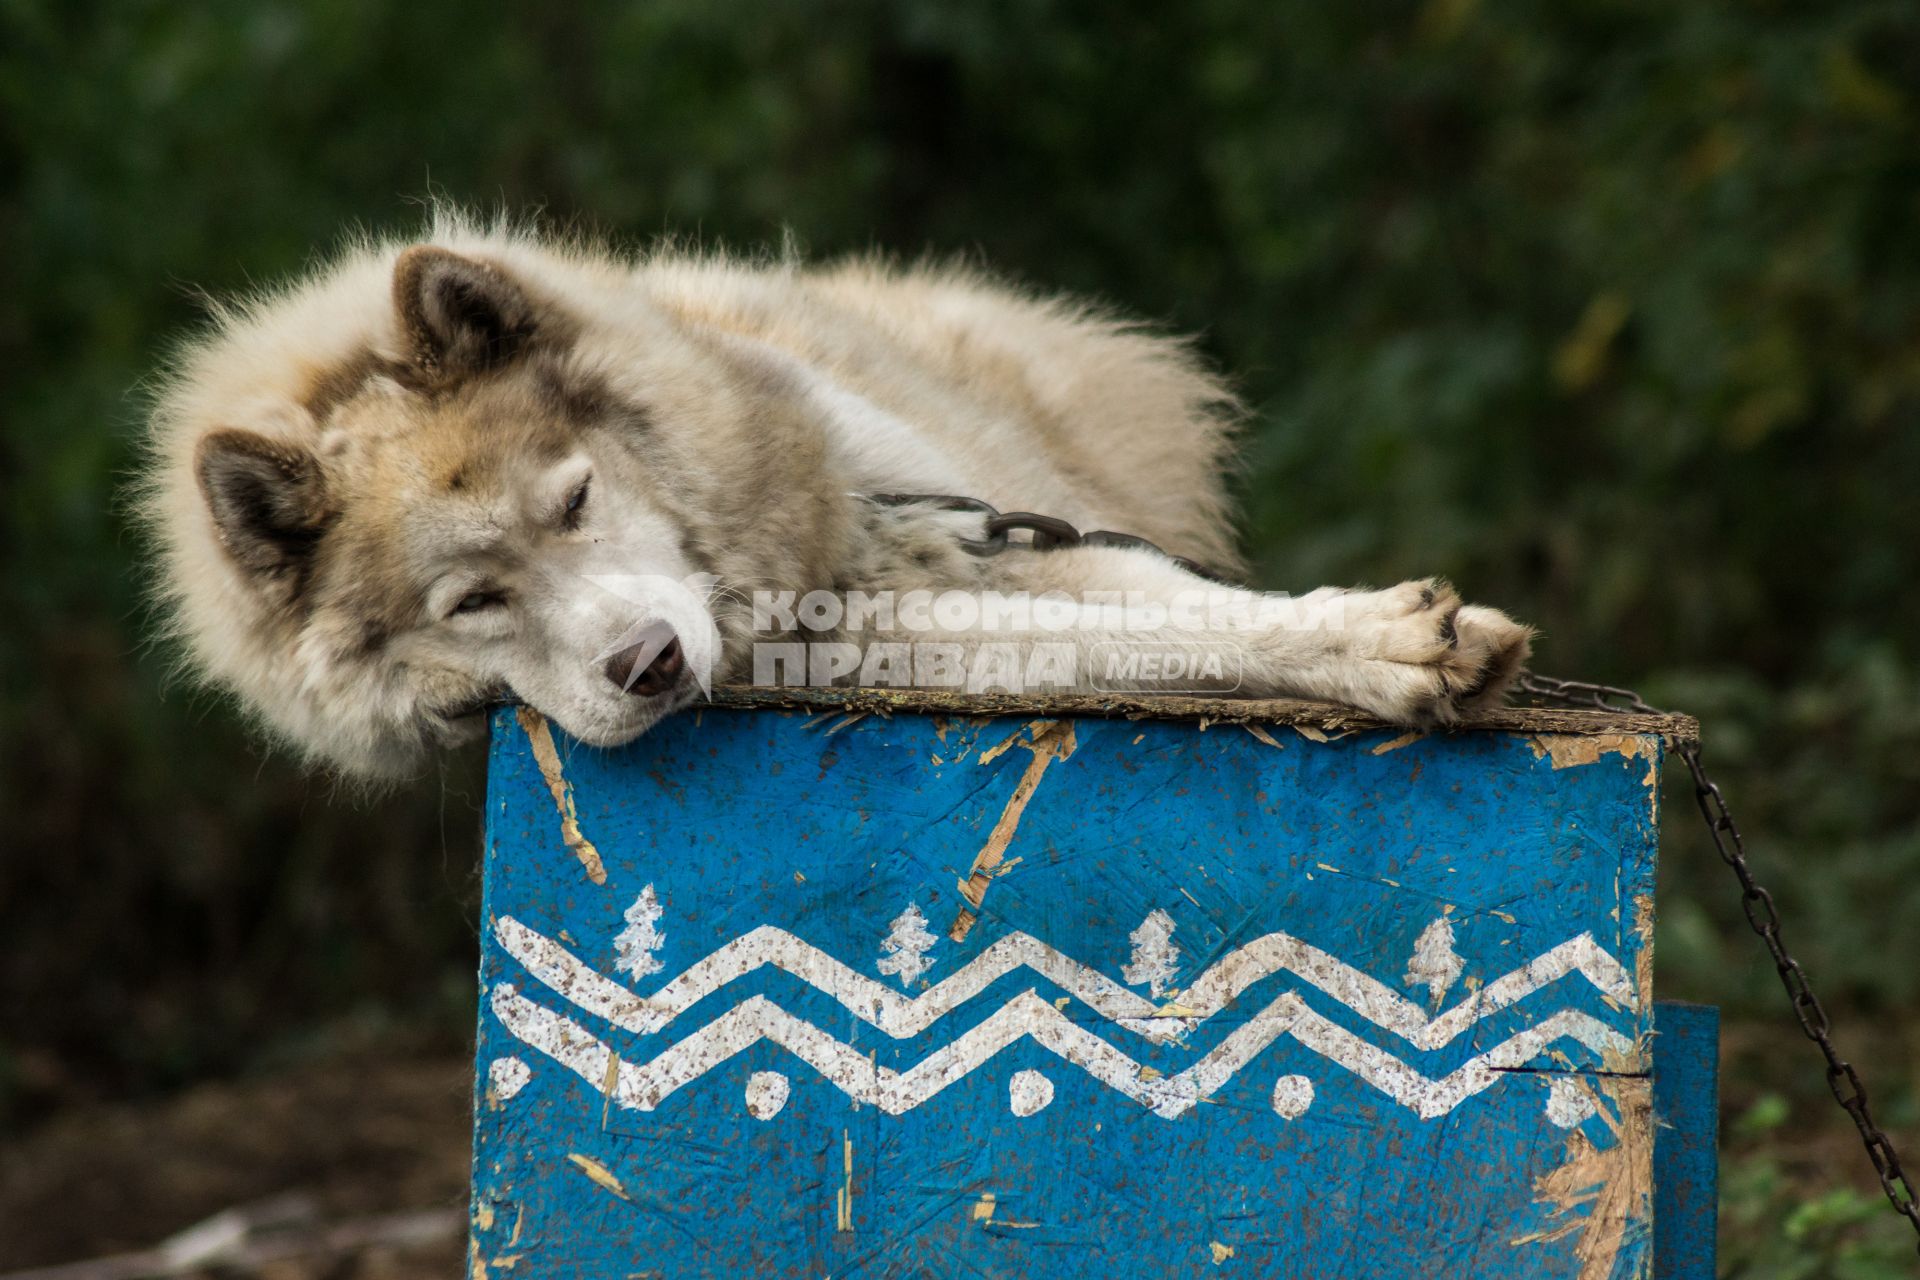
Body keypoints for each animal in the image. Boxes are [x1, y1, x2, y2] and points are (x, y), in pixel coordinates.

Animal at [139, 213, 1528, 775]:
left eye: (577, 501)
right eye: (472, 601)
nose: (648, 665)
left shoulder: (1008, 541)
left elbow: (1198, 614)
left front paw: (1387, 637)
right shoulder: (892, 636)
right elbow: (1140, 642)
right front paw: (1396, 651)